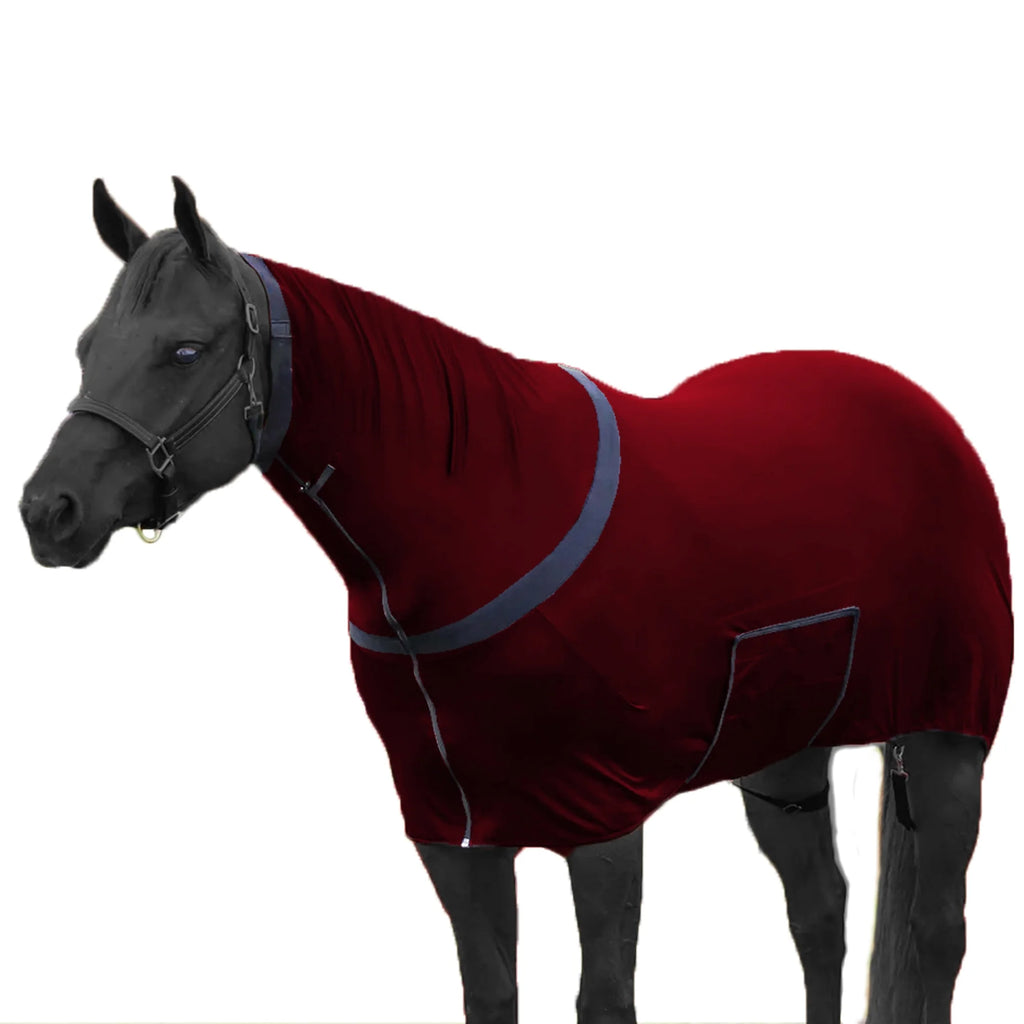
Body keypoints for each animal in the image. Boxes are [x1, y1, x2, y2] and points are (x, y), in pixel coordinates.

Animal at [20, 177, 1012, 1024]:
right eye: (86, 348)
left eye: (185, 349)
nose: (46, 513)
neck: (480, 525)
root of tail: (921, 414)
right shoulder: (455, 833)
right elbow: (491, 992)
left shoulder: (600, 819)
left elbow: (603, 998)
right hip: (785, 755)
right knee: (820, 911)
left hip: (945, 741)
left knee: (935, 934)